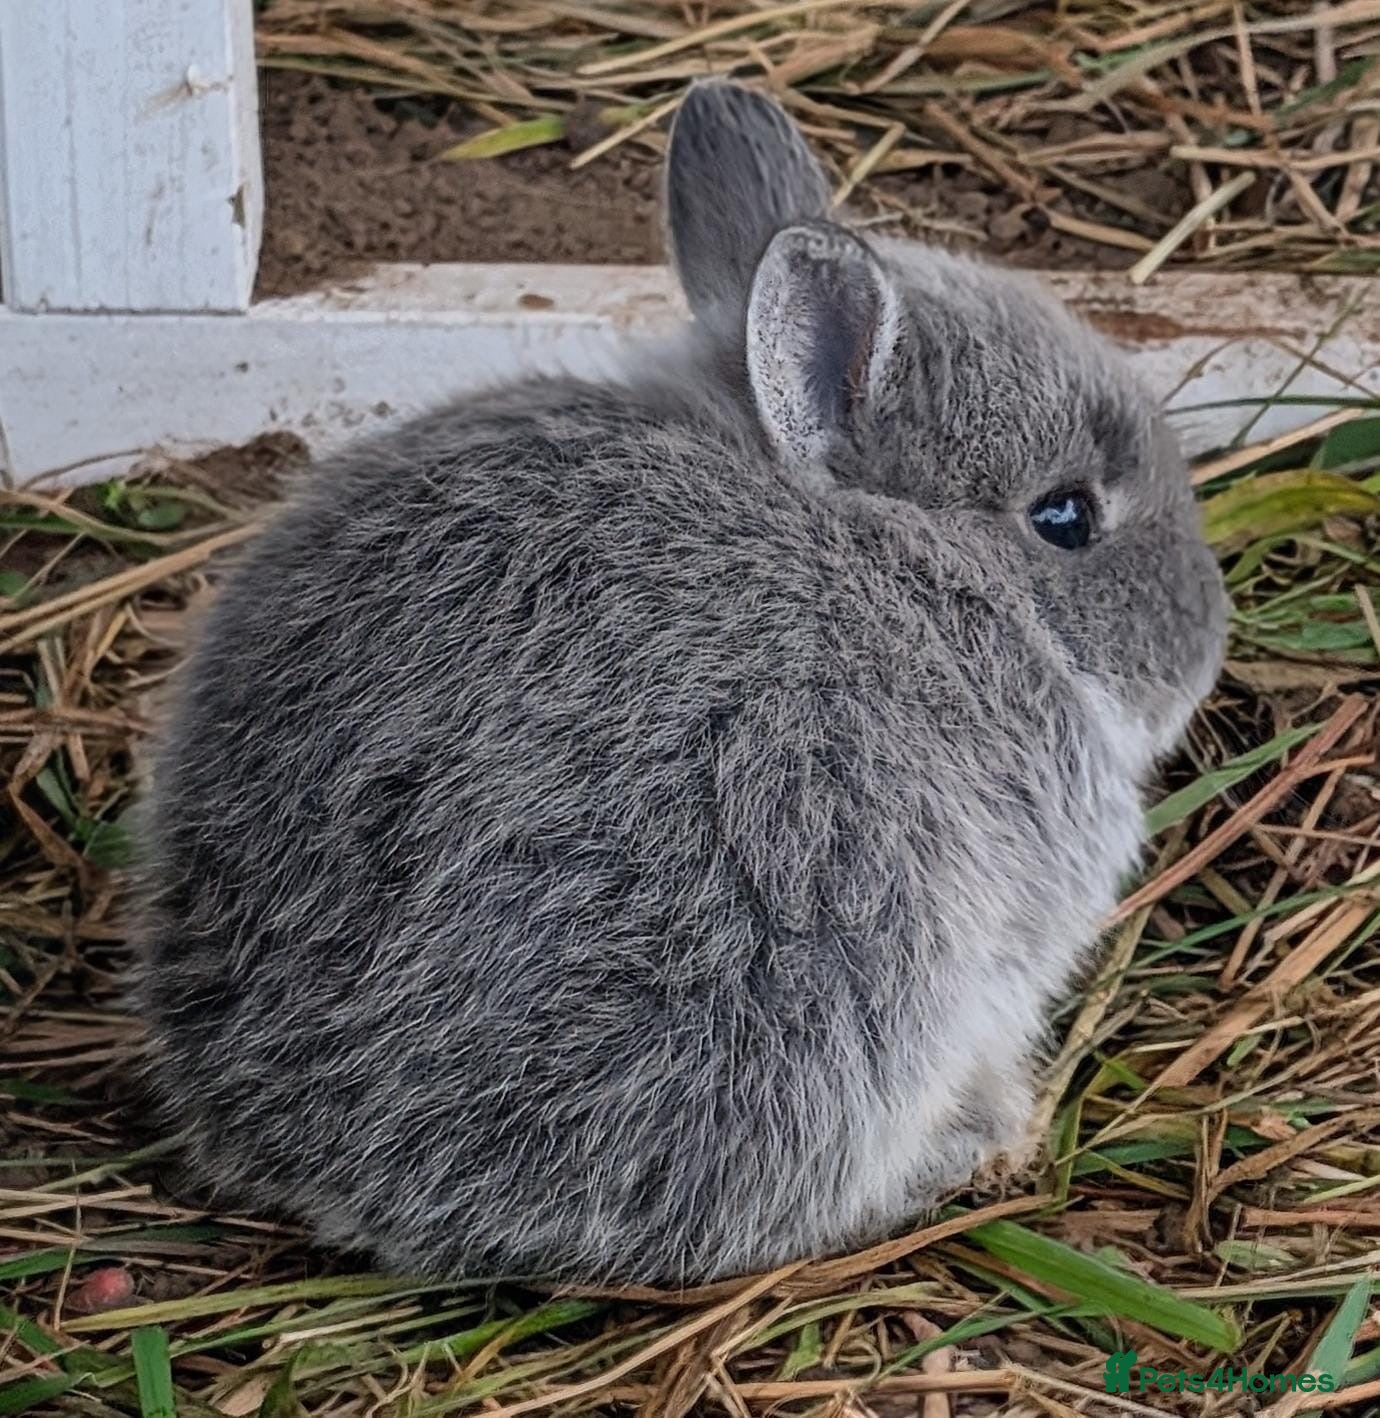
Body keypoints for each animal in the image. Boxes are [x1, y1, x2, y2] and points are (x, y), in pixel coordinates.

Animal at [132, 80, 1227, 1286]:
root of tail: (303, 1134)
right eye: (1064, 516)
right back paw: (980, 1139)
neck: (896, 546)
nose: (1206, 637)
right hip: (805, 976)